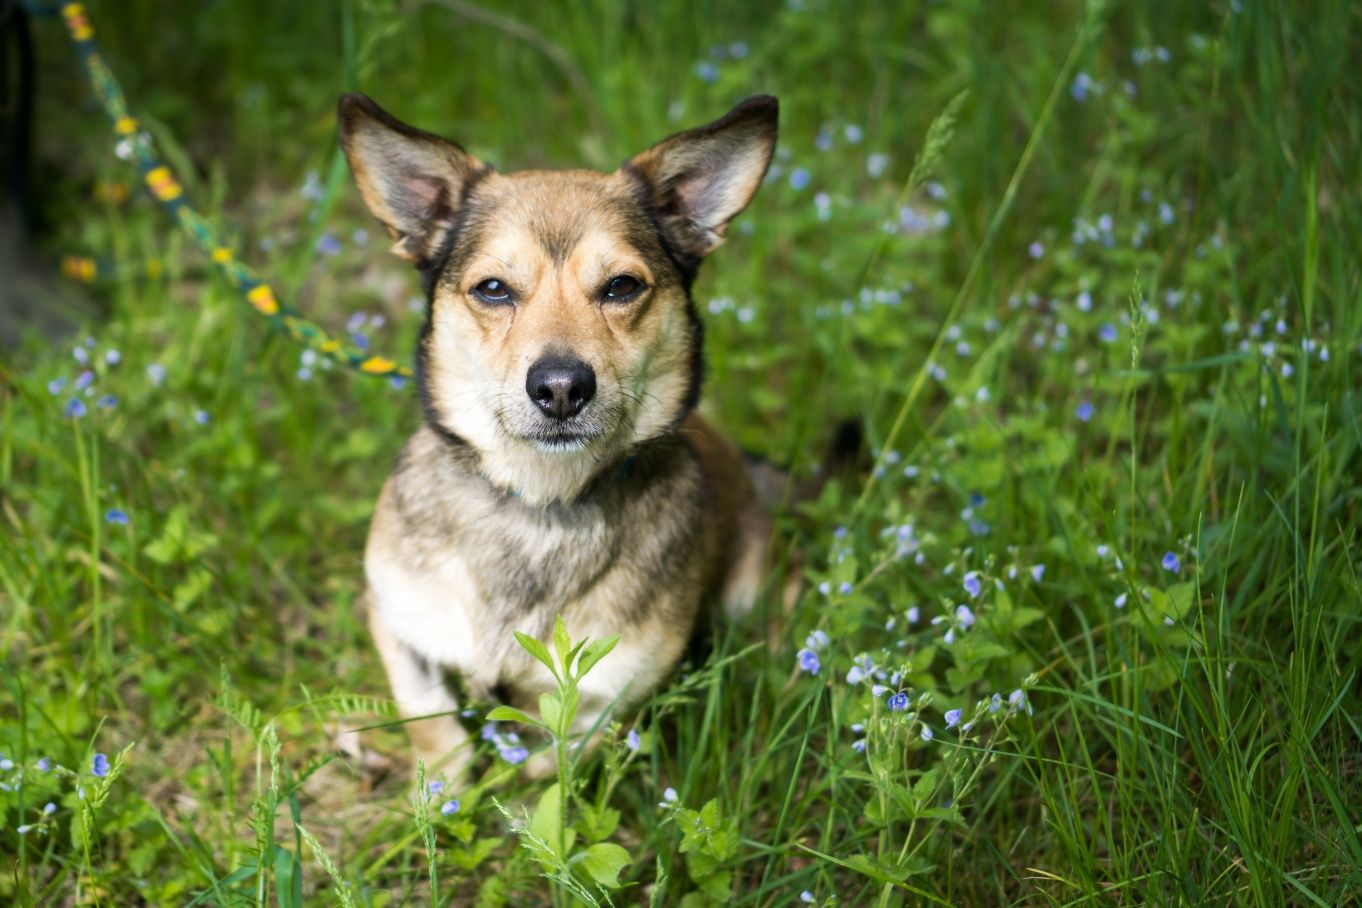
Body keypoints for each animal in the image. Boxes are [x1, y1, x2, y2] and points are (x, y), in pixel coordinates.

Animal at [339, 90, 779, 773]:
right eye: (493, 288)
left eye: (621, 286)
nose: (562, 388)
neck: (538, 506)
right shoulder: (395, 618)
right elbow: (428, 716)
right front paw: (443, 785)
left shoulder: (612, 697)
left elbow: (552, 769)